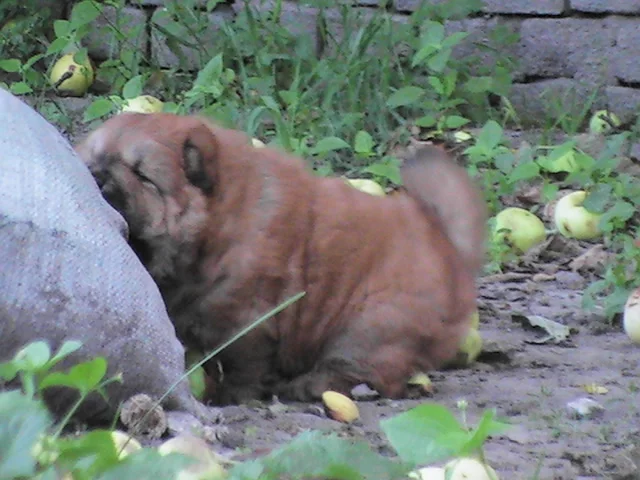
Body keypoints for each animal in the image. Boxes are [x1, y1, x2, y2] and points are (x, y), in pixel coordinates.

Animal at [75, 112, 487, 404]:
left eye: (142, 176)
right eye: (94, 159)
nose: (96, 177)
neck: (218, 230)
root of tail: (446, 246)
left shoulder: (248, 316)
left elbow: (242, 363)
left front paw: (233, 397)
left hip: (374, 323)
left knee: (364, 370)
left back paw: (308, 386)